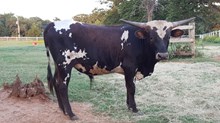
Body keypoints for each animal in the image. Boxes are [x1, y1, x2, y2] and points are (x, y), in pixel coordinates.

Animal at [43, 17, 195, 120]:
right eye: (151, 37)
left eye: (168, 36)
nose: (163, 55)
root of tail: (53, 23)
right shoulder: (130, 68)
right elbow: (132, 88)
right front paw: (134, 108)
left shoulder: (130, 71)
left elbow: (128, 88)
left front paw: (129, 106)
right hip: (65, 64)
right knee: (62, 86)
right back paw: (71, 114)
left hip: (58, 66)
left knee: (56, 82)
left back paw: (62, 109)